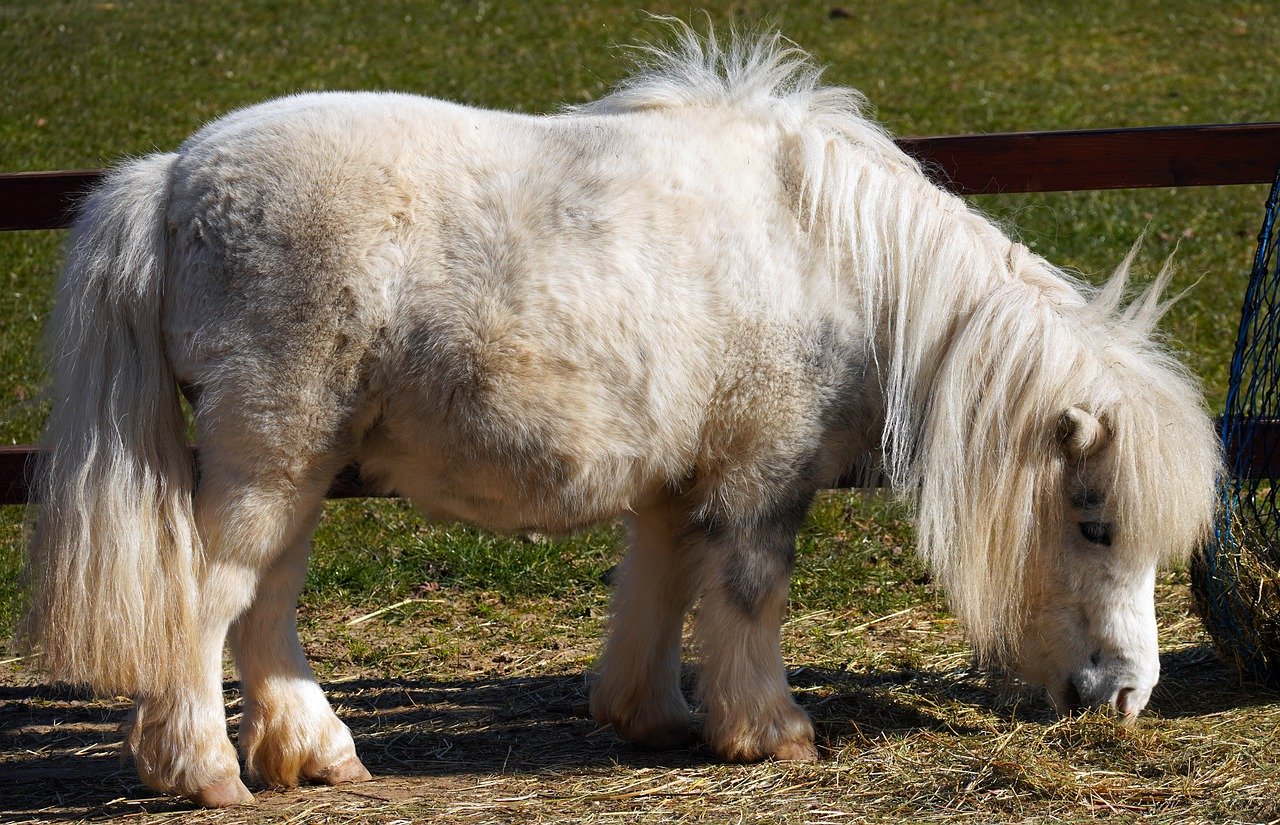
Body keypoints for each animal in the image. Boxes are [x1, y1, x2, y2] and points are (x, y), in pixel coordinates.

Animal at [17, 27, 1218, 803]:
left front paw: (655, 717)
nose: (1126, 696)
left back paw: (314, 753)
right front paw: (772, 732)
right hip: (272, 458)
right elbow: (748, 596)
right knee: (210, 599)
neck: (843, 264)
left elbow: (661, 586)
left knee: (265, 605)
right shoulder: (761, 476)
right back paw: (204, 770)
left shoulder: (681, 479)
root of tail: (173, 177)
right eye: (1095, 524)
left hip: (301, 469)